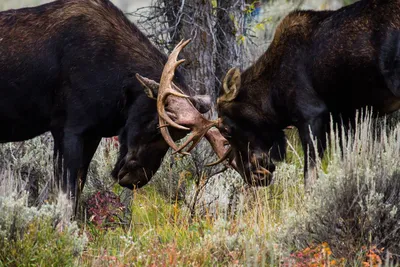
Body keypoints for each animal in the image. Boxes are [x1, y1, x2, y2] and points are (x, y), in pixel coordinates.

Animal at [0, 0, 230, 214]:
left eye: (178, 136)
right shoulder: (68, 128)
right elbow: (67, 195)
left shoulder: (92, 133)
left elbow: (78, 189)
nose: (135, 178)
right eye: (156, 125)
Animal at [142, 0, 400, 191]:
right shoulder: (348, 117)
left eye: (226, 129)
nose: (254, 176)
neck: (273, 101)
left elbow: (310, 178)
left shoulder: (311, 115)